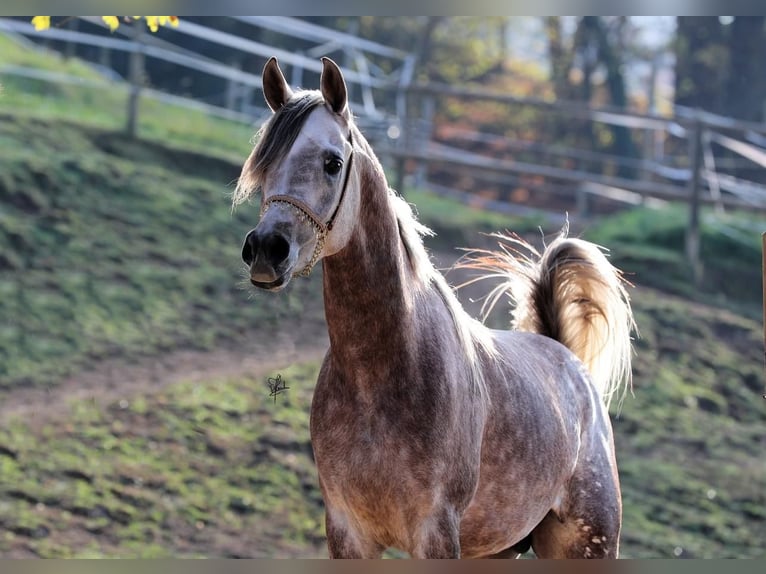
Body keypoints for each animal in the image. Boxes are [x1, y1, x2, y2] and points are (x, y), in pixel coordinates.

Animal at [237, 56, 640, 560]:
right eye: (265, 162)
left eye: (333, 162)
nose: (265, 251)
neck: (381, 372)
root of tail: (565, 358)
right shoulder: (348, 532)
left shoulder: (435, 533)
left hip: (587, 543)